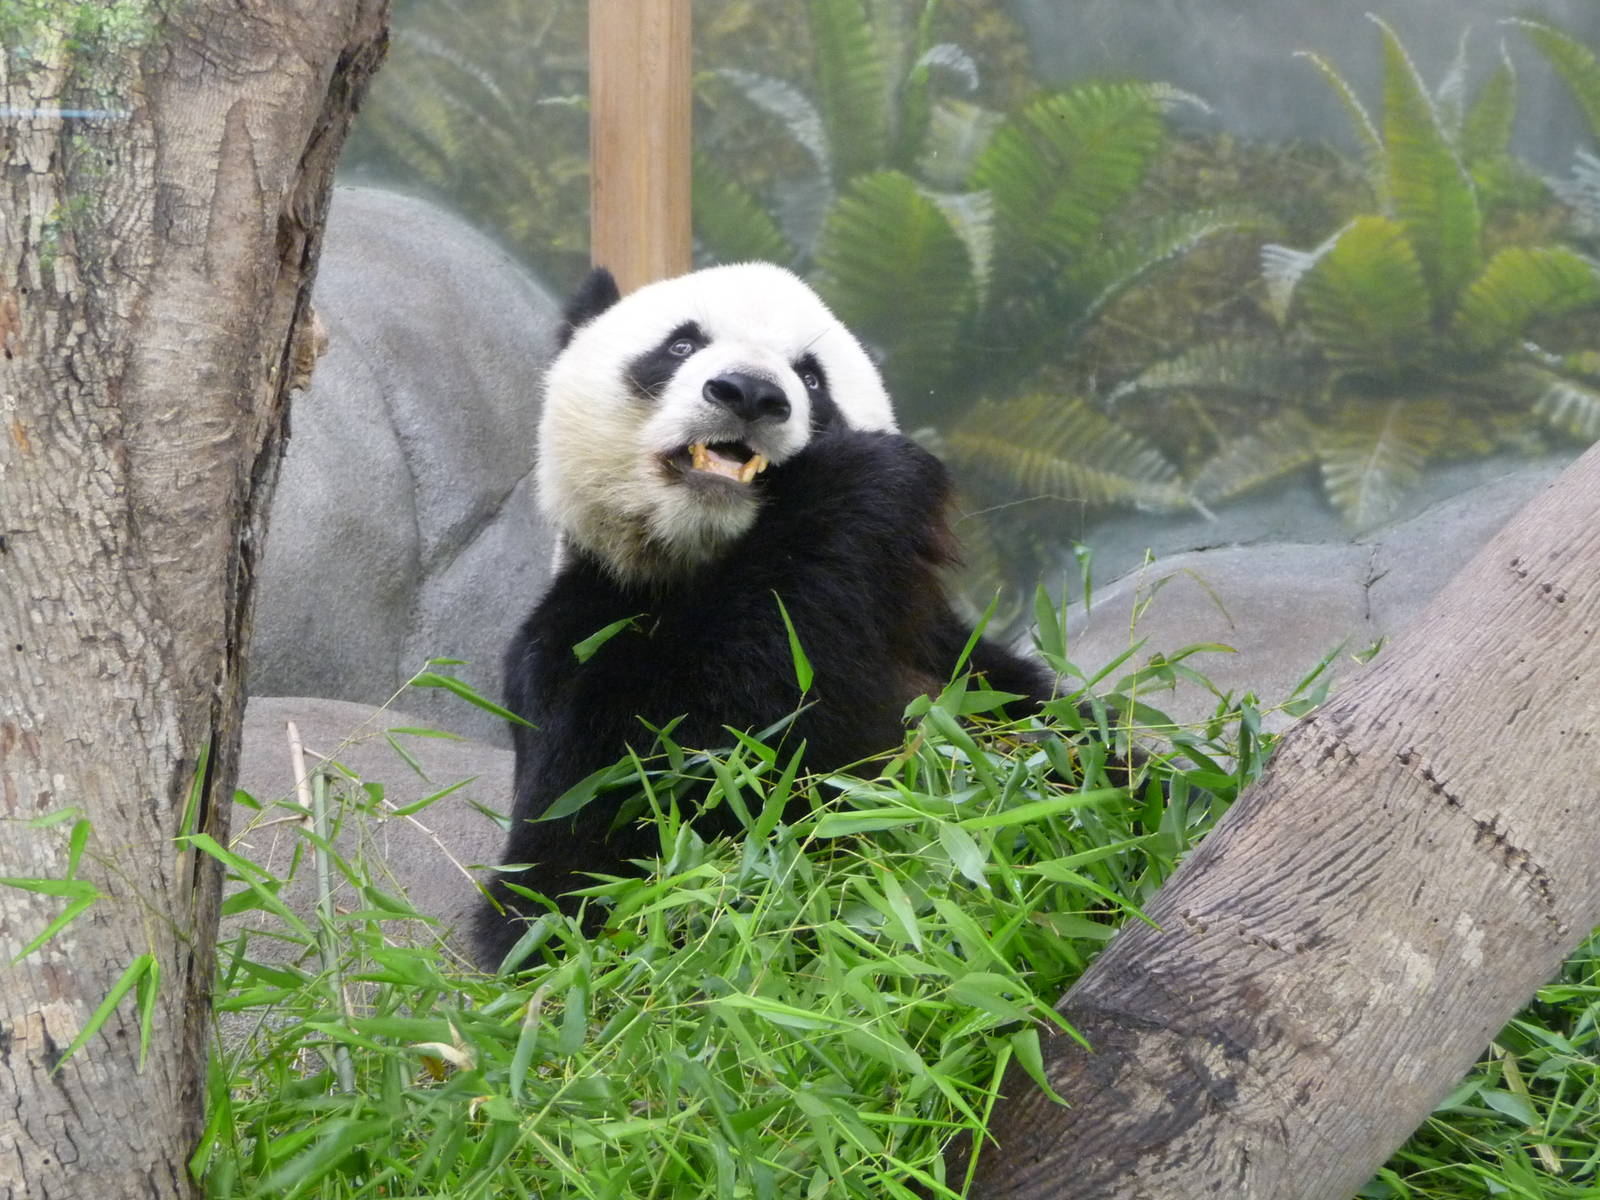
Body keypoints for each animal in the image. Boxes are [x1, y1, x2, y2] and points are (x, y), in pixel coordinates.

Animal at [476, 262, 1054, 963]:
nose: (750, 393)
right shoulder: (576, 640)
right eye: (681, 345)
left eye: (811, 377)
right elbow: (602, 854)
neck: (705, 556)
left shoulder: (944, 651)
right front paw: (865, 475)